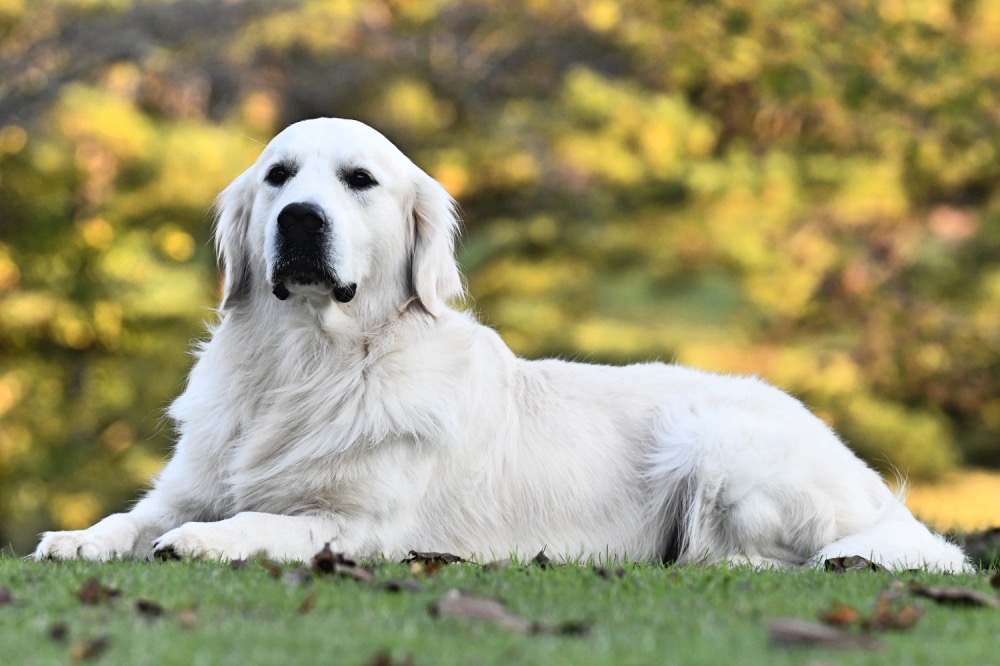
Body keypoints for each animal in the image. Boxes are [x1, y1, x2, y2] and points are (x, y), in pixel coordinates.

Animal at [37, 116, 968, 568]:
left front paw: (207, 542)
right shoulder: (192, 482)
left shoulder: (366, 525)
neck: (311, 361)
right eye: (278, 177)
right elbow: (134, 515)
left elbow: (279, 524)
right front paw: (80, 537)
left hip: (719, 445)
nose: (300, 220)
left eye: (359, 180)